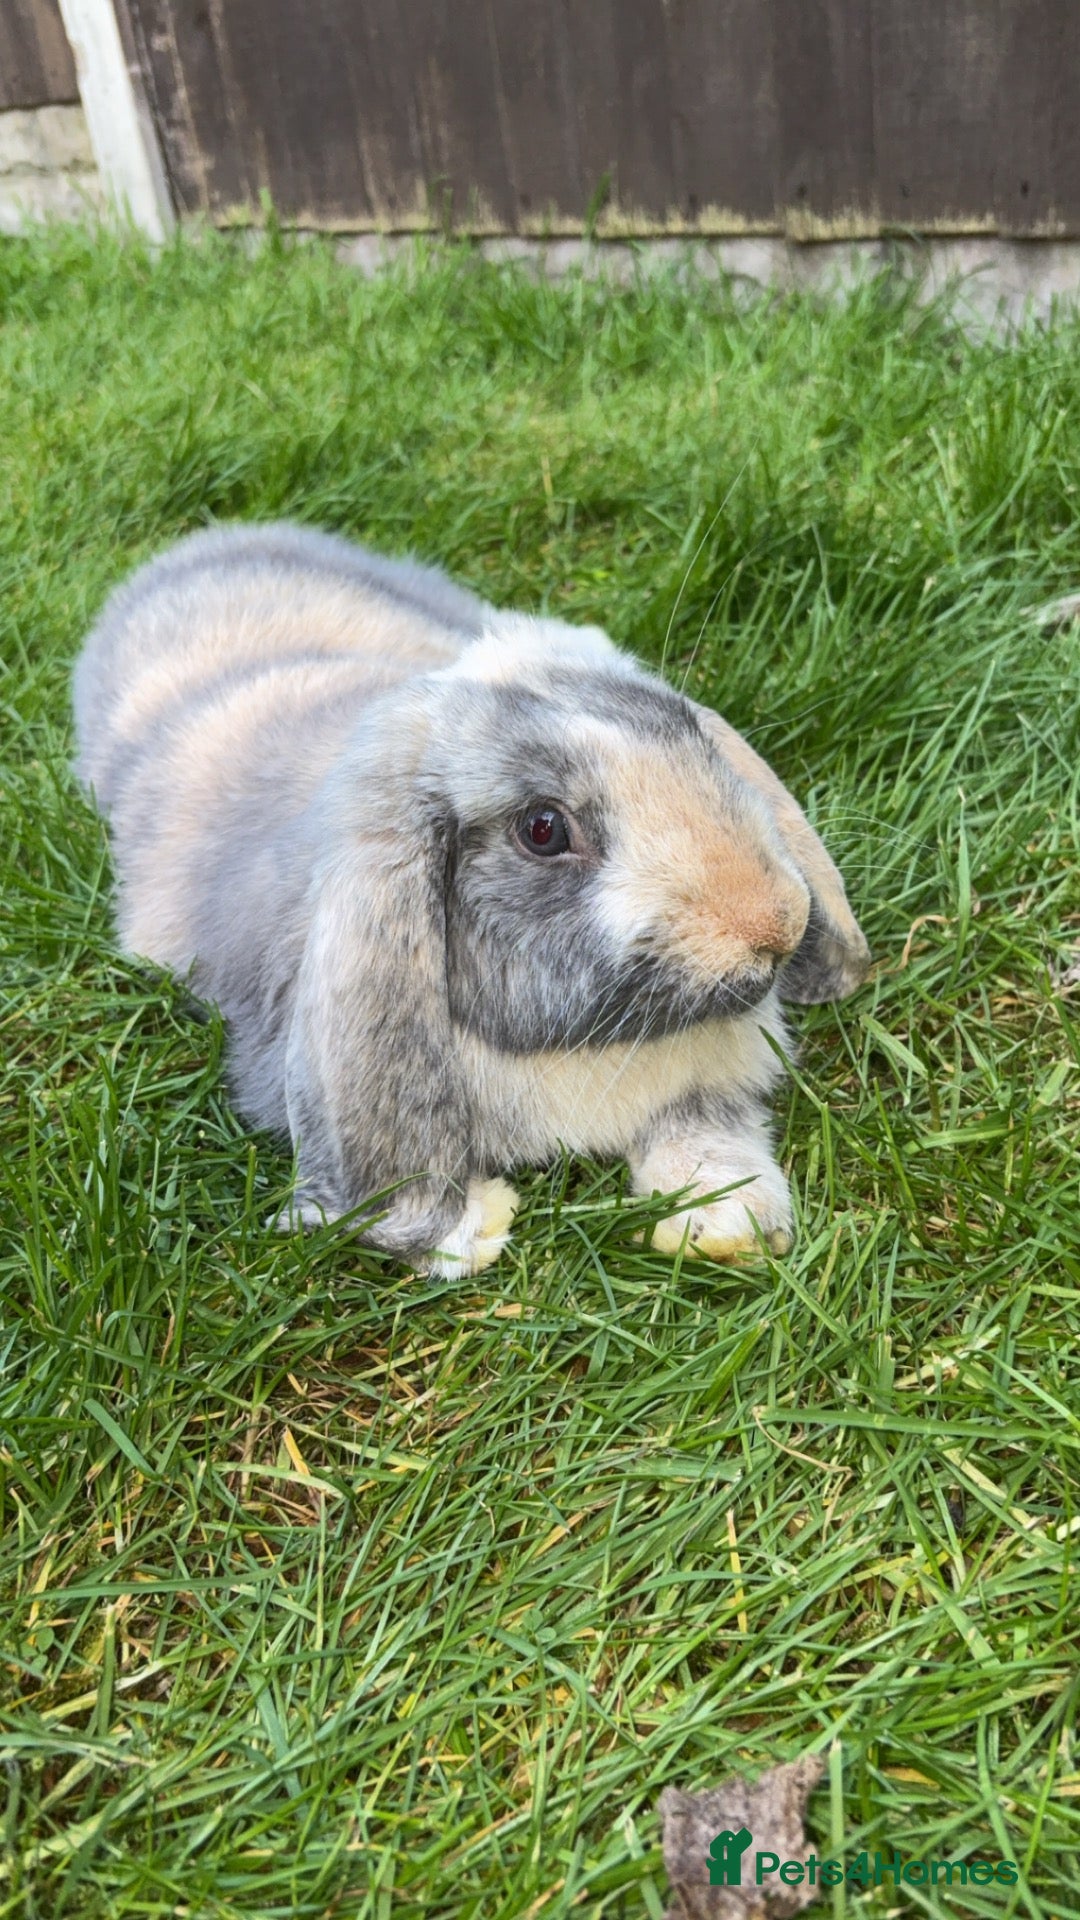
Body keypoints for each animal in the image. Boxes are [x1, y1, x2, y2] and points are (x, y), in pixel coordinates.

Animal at [73, 521, 870, 1276]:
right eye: (543, 829)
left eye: (689, 734)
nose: (777, 925)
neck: (583, 1051)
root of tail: (204, 549)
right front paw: (474, 1230)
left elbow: (705, 1129)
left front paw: (728, 1222)